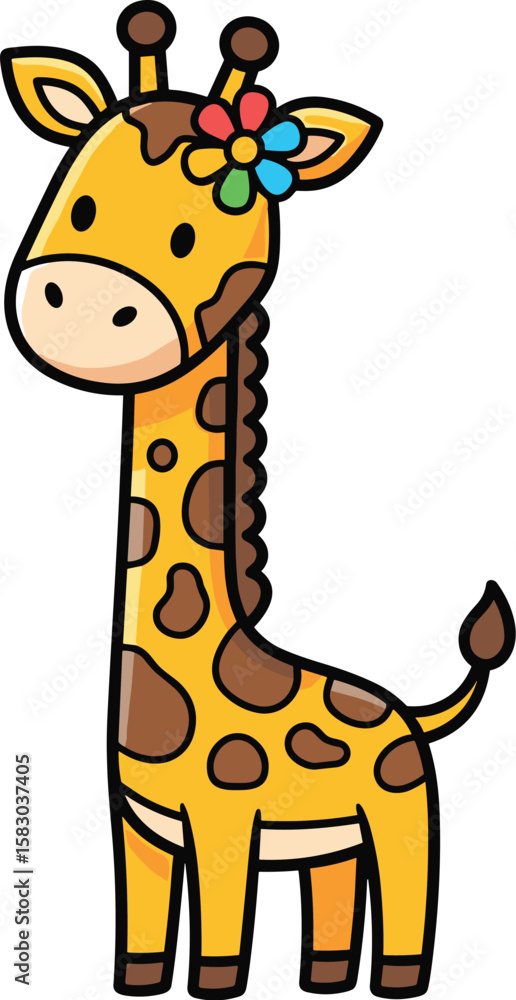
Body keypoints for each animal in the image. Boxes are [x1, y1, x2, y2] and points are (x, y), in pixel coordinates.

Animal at [3, 4, 515, 998]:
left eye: (188, 238)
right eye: (78, 204)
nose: (79, 302)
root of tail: (411, 712)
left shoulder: (225, 823)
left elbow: (222, 928)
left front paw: (213, 988)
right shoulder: (138, 826)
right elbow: (142, 920)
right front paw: (136, 982)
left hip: (403, 815)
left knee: (407, 893)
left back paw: (396, 980)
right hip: (331, 844)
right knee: (332, 898)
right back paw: (323, 977)